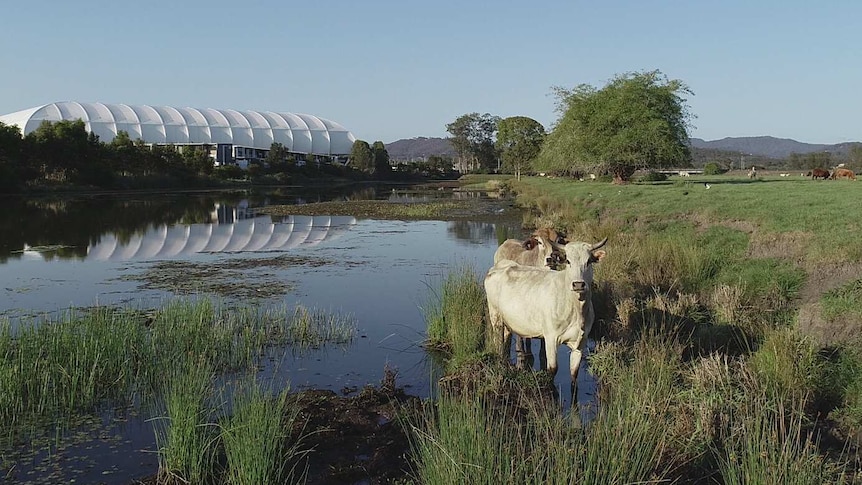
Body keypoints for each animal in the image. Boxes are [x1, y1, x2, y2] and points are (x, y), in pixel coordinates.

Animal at [486, 236, 608, 384]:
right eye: (568, 261)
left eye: (589, 261)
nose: (578, 284)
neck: (576, 310)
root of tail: (500, 265)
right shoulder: (550, 339)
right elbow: (552, 369)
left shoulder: (580, 343)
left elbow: (574, 374)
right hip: (495, 318)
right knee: (498, 342)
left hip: (508, 322)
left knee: (506, 340)